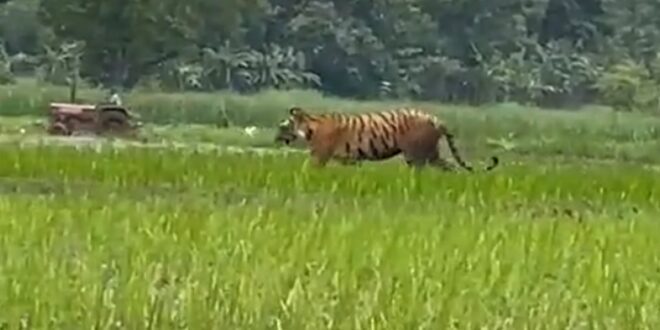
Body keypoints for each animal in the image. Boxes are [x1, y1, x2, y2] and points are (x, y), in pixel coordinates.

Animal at [274, 106, 500, 173]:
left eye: (282, 126)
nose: (275, 139)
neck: (309, 127)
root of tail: (436, 119)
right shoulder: (352, 160)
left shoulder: (319, 155)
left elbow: (308, 169)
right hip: (431, 153)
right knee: (450, 167)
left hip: (415, 154)